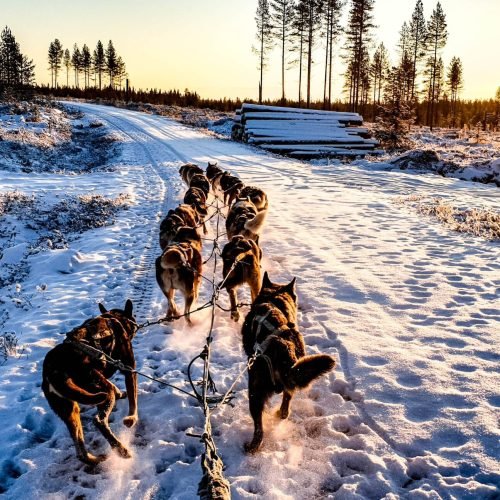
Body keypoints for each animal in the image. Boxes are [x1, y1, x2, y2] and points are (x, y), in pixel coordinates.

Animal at [41, 298, 138, 466]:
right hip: (101, 390)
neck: (113, 318)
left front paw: (121, 394)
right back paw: (121, 449)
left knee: (79, 449)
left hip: (71, 410)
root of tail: (51, 368)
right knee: (99, 420)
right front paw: (131, 418)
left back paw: (94, 458)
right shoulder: (129, 369)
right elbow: (133, 399)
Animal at [240, 274, 334, 454]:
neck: (273, 300)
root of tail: (282, 345)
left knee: (259, 430)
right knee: (285, 406)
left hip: (254, 392)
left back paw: (252, 447)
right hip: (290, 378)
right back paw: (281, 414)